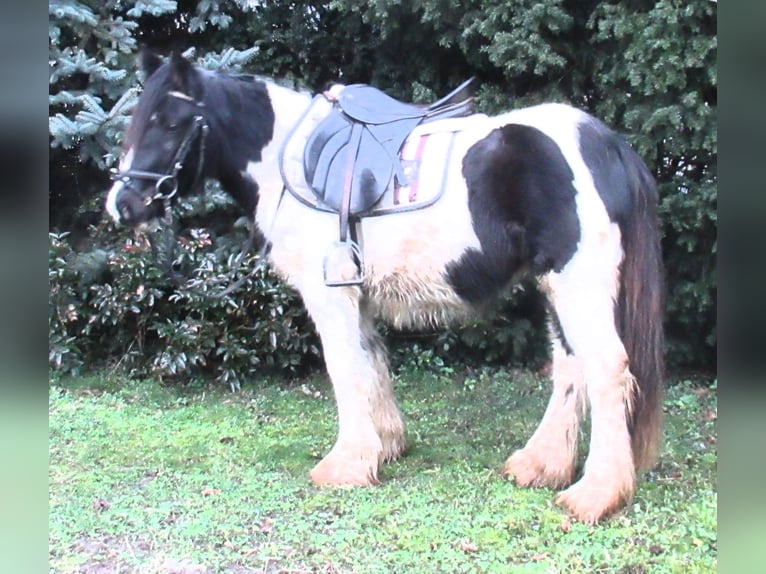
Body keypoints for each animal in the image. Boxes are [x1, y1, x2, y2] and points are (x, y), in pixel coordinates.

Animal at [106, 50, 664, 528]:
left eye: (170, 121)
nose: (122, 205)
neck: (288, 164)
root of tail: (607, 144)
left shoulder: (329, 296)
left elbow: (343, 370)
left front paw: (346, 465)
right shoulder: (357, 295)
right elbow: (371, 361)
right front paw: (386, 445)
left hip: (577, 282)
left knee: (606, 369)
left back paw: (595, 494)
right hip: (556, 287)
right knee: (571, 367)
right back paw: (541, 465)